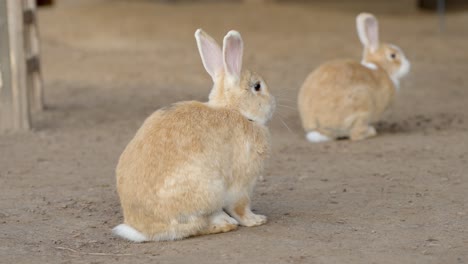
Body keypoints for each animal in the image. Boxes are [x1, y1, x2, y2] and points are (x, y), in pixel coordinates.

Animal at [112, 28, 276, 241]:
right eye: (257, 86)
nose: (273, 104)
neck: (236, 110)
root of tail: (144, 230)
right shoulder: (243, 183)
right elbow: (241, 207)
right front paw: (256, 220)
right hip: (208, 190)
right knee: (196, 226)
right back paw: (224, 224)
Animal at [298, 12, 412, 142]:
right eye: (393, 55)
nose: (408, 65)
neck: (380, 68)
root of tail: (318, 128)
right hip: (363, 108)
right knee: (355, 134)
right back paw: (371, 131)